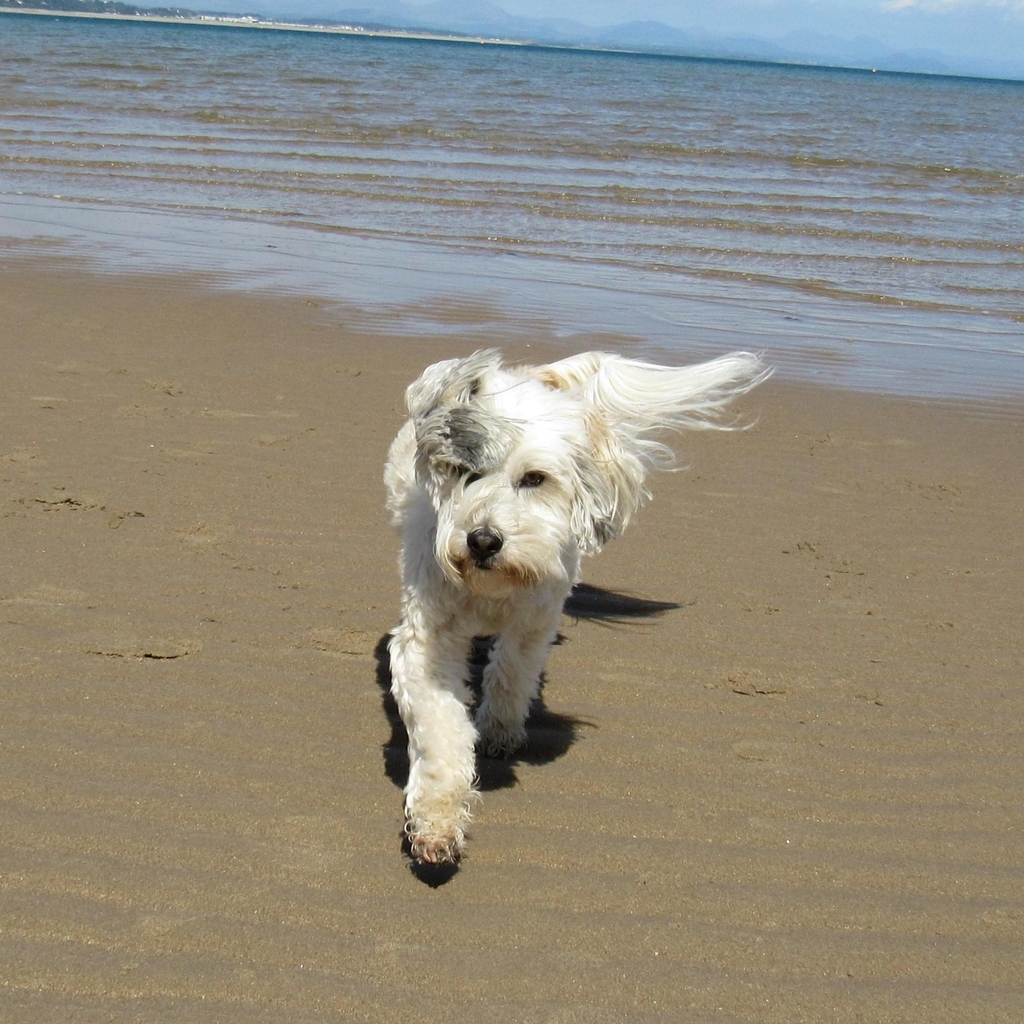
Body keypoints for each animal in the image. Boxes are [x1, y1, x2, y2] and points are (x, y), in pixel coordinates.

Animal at [385, 348, 769, 865]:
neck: (492, 587)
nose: (483, 540)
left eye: (535, 478)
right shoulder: (428, 640)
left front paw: (500, 731)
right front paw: (437, 823)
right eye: (465, 471)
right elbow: (440, 728)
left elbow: (511, 674)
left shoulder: (535, 621)